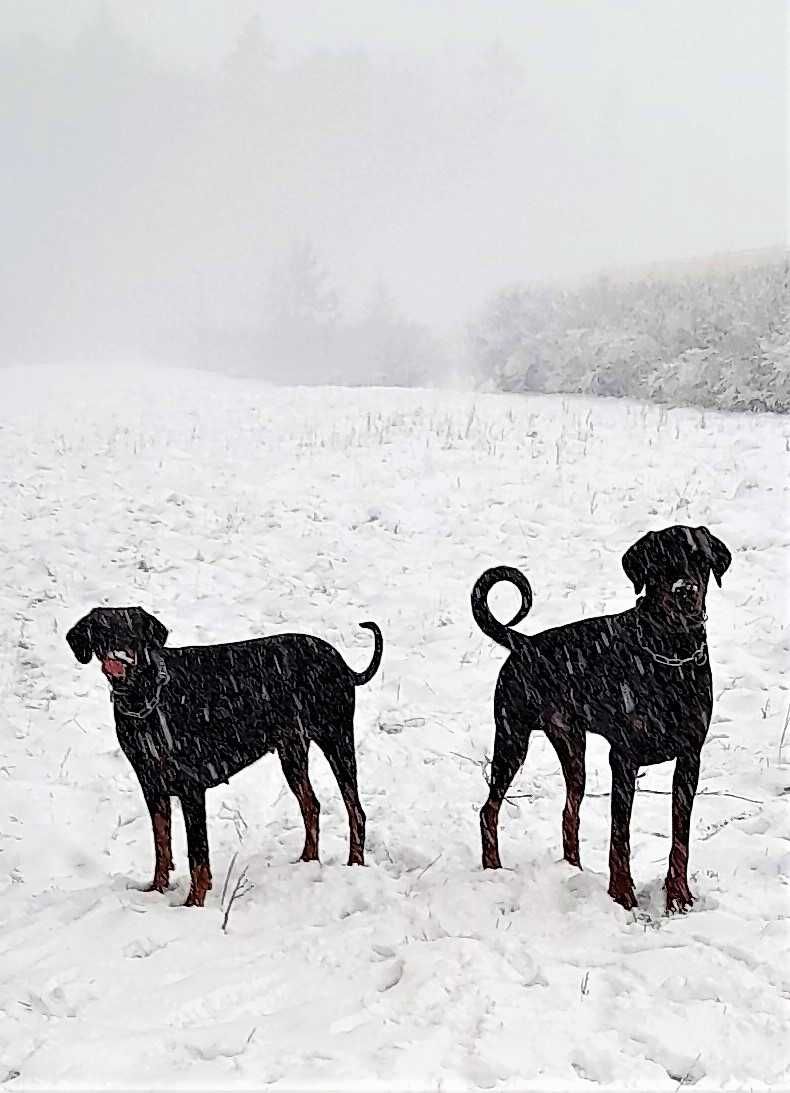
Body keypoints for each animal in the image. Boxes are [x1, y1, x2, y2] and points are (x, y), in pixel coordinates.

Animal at [66, 607, 382, 905]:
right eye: (102, 631)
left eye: (132, 630)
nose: (117, 654)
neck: (145, 697)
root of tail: (340, 663)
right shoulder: (152, 786)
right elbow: (161, 844)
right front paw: (156, 890)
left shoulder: (191, 789)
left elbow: (197, 855)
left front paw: (193, 903)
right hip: (292, 751)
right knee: (311, 805)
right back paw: (307, 860)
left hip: (336, 739)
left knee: (355, 810)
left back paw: (354, 864)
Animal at [472, 524, 734, 909]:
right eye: (661, 561)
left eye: (700, 559)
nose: (684, 591)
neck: (671, 655)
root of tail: (525, 642)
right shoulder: (624, 757)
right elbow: (619, 834)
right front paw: (622, 893)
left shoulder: (689, 757)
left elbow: (680, 835)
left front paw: (678, 896)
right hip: (511, 736)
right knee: (489, 809)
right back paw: (493, 868)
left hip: (571, 746)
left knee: (569, 811)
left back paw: (573, 869)